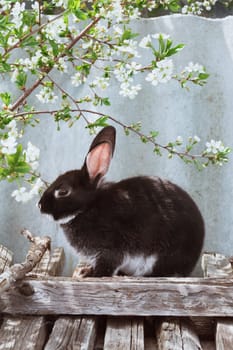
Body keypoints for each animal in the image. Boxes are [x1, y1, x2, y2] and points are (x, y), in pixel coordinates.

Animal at [39, 125, 205, 276]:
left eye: (63, 192)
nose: (40, 205)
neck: (88, 207)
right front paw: (86, 271)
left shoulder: (111, 249)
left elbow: (107, 266)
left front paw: (91, 274)